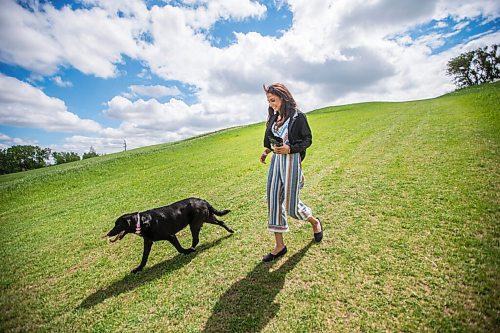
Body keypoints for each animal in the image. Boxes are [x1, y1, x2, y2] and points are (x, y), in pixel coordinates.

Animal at [104, 197, 233, 272]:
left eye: (118, 225)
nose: (108, 233)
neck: (143, 221)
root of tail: (202, 200)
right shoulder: (148, 241)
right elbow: (144, 258)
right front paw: (138, 269)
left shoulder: (170, 236)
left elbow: (179, 248)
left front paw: (186, 251)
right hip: (207, 218)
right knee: (221, 222)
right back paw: (231, 231)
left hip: (195, 224)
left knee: (196, 239)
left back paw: (191, 249)